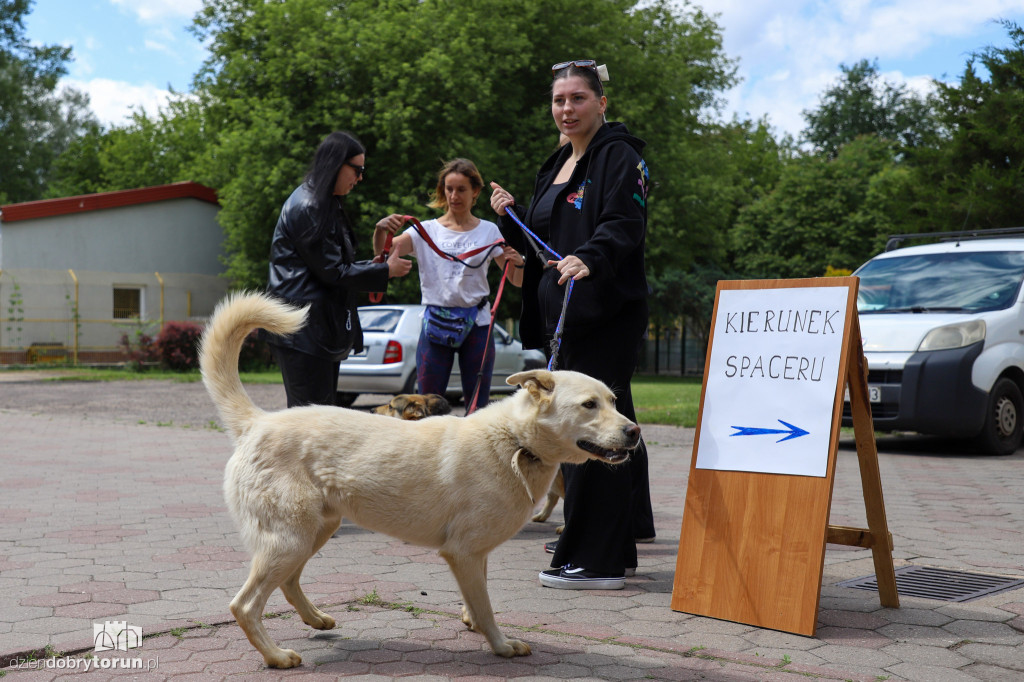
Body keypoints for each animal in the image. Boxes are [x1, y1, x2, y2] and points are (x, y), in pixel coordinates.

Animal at [197, 292, 638, 663]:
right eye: (588, 405)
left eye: (614, 401)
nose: (634, 431)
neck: (515, 441)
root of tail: (257, 421)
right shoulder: (463, 552)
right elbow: (486, 608)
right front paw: (500, 645)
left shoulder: (476, 554)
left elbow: (477, 600)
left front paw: (472, 623)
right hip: (289, 539)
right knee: (244, 605)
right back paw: (276, 656)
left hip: (313, 531)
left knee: (288, 583)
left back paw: (316, 619)